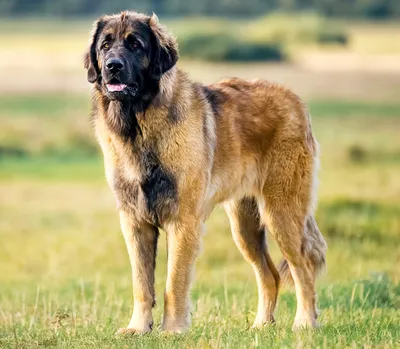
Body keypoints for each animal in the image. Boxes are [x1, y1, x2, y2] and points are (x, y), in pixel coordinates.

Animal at [84, 10, 328, 332]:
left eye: (135, 45)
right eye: (105, 45)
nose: (113, 66)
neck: (138, 125)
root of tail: (295, 100)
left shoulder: (183, 220)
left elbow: (174, 281)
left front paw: (172, 330)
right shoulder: (135, 221)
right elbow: (141, 283)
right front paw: (138, 328)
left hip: (282, 213)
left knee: (303, 266)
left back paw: (304, 322)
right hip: (245, 226)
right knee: (270, 275)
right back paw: (261, 325)